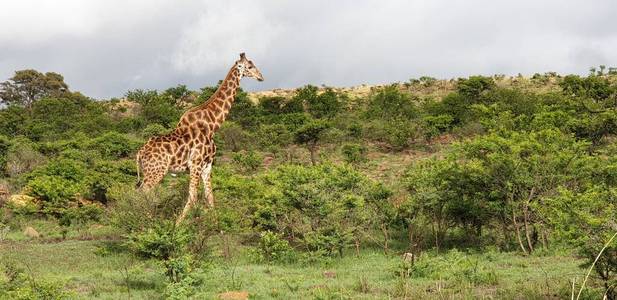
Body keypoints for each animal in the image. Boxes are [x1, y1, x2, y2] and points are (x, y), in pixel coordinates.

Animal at [136, 52, 264, 223]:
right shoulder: (195, 164)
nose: (261, 77)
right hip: (156, 171)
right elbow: (193, 196)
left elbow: (210, 197)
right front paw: (178, 225)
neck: (213, 125)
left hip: (149, 172)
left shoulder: (207, 166)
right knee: (143, 193)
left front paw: (217, 225)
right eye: (249, 66)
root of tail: (140, 153)